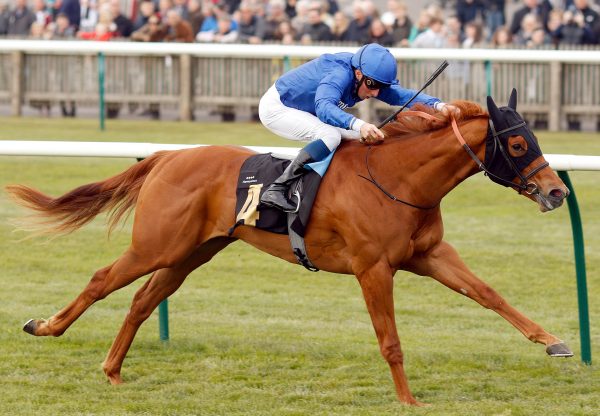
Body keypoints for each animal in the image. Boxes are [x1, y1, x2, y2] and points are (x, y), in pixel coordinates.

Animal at [8, 92, 572, 406]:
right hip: (157, 244)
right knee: (102, 279)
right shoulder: (374, 269)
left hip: (192, 252)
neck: (397, 179)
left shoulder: (430, 255)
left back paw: (113, 371)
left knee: (144, 300)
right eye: (517, 144)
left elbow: (490, 294)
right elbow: (390, 341)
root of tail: (167, 156)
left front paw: (552, 341)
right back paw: (46, 327)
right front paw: (408, 399)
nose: (557, 192)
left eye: (536, 139)